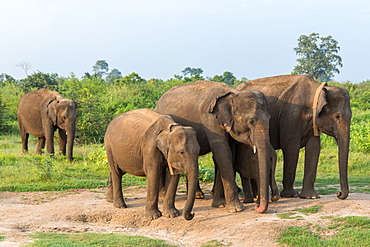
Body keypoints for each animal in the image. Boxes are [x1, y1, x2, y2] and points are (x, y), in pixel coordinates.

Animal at [155, 80, 270, 213]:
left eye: (270, 118)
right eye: (251, 121)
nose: (257, 207)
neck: (233, 94)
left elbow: (228, 155)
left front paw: (220, 204)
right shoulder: (210, 120)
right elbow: (222, 153)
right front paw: (235, 209)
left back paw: (198, 195)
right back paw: (163, 195)